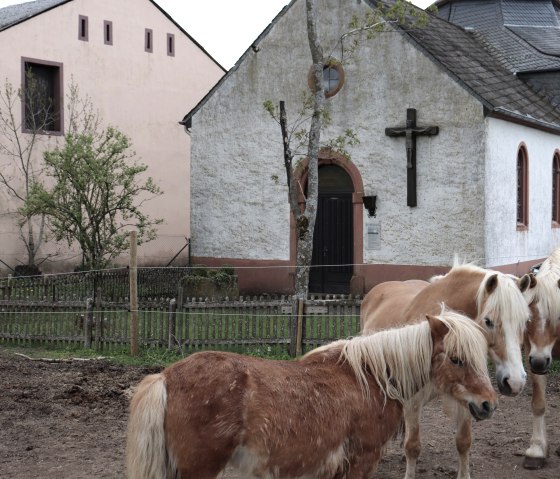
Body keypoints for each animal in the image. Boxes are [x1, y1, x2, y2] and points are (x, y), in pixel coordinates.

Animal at [360, 262, 532, 479]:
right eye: (488, 321)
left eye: (525, 322)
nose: (515, 382)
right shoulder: (412, 401)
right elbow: (412, 446)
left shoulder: (468, 394)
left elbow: (464, 442)